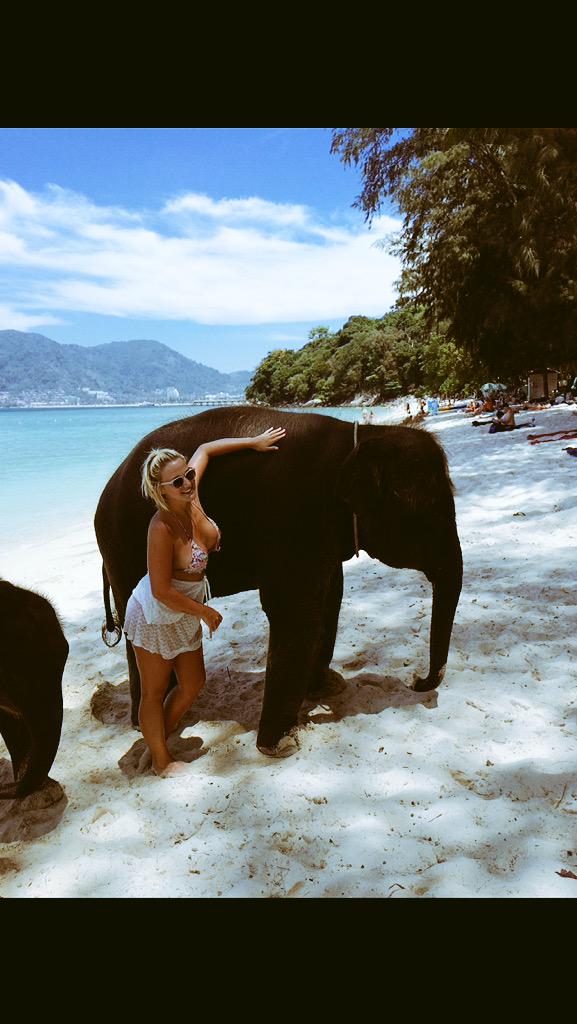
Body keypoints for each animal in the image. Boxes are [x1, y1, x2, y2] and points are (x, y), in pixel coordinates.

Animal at [94, 406, 462, 753]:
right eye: (429, 516)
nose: (416, 680)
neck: (360, 437)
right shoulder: (292, 519)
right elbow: (293, 611)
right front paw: (279, 745)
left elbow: (329, 598)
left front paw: (327, 688)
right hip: (124, 547)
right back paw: (146, 722)